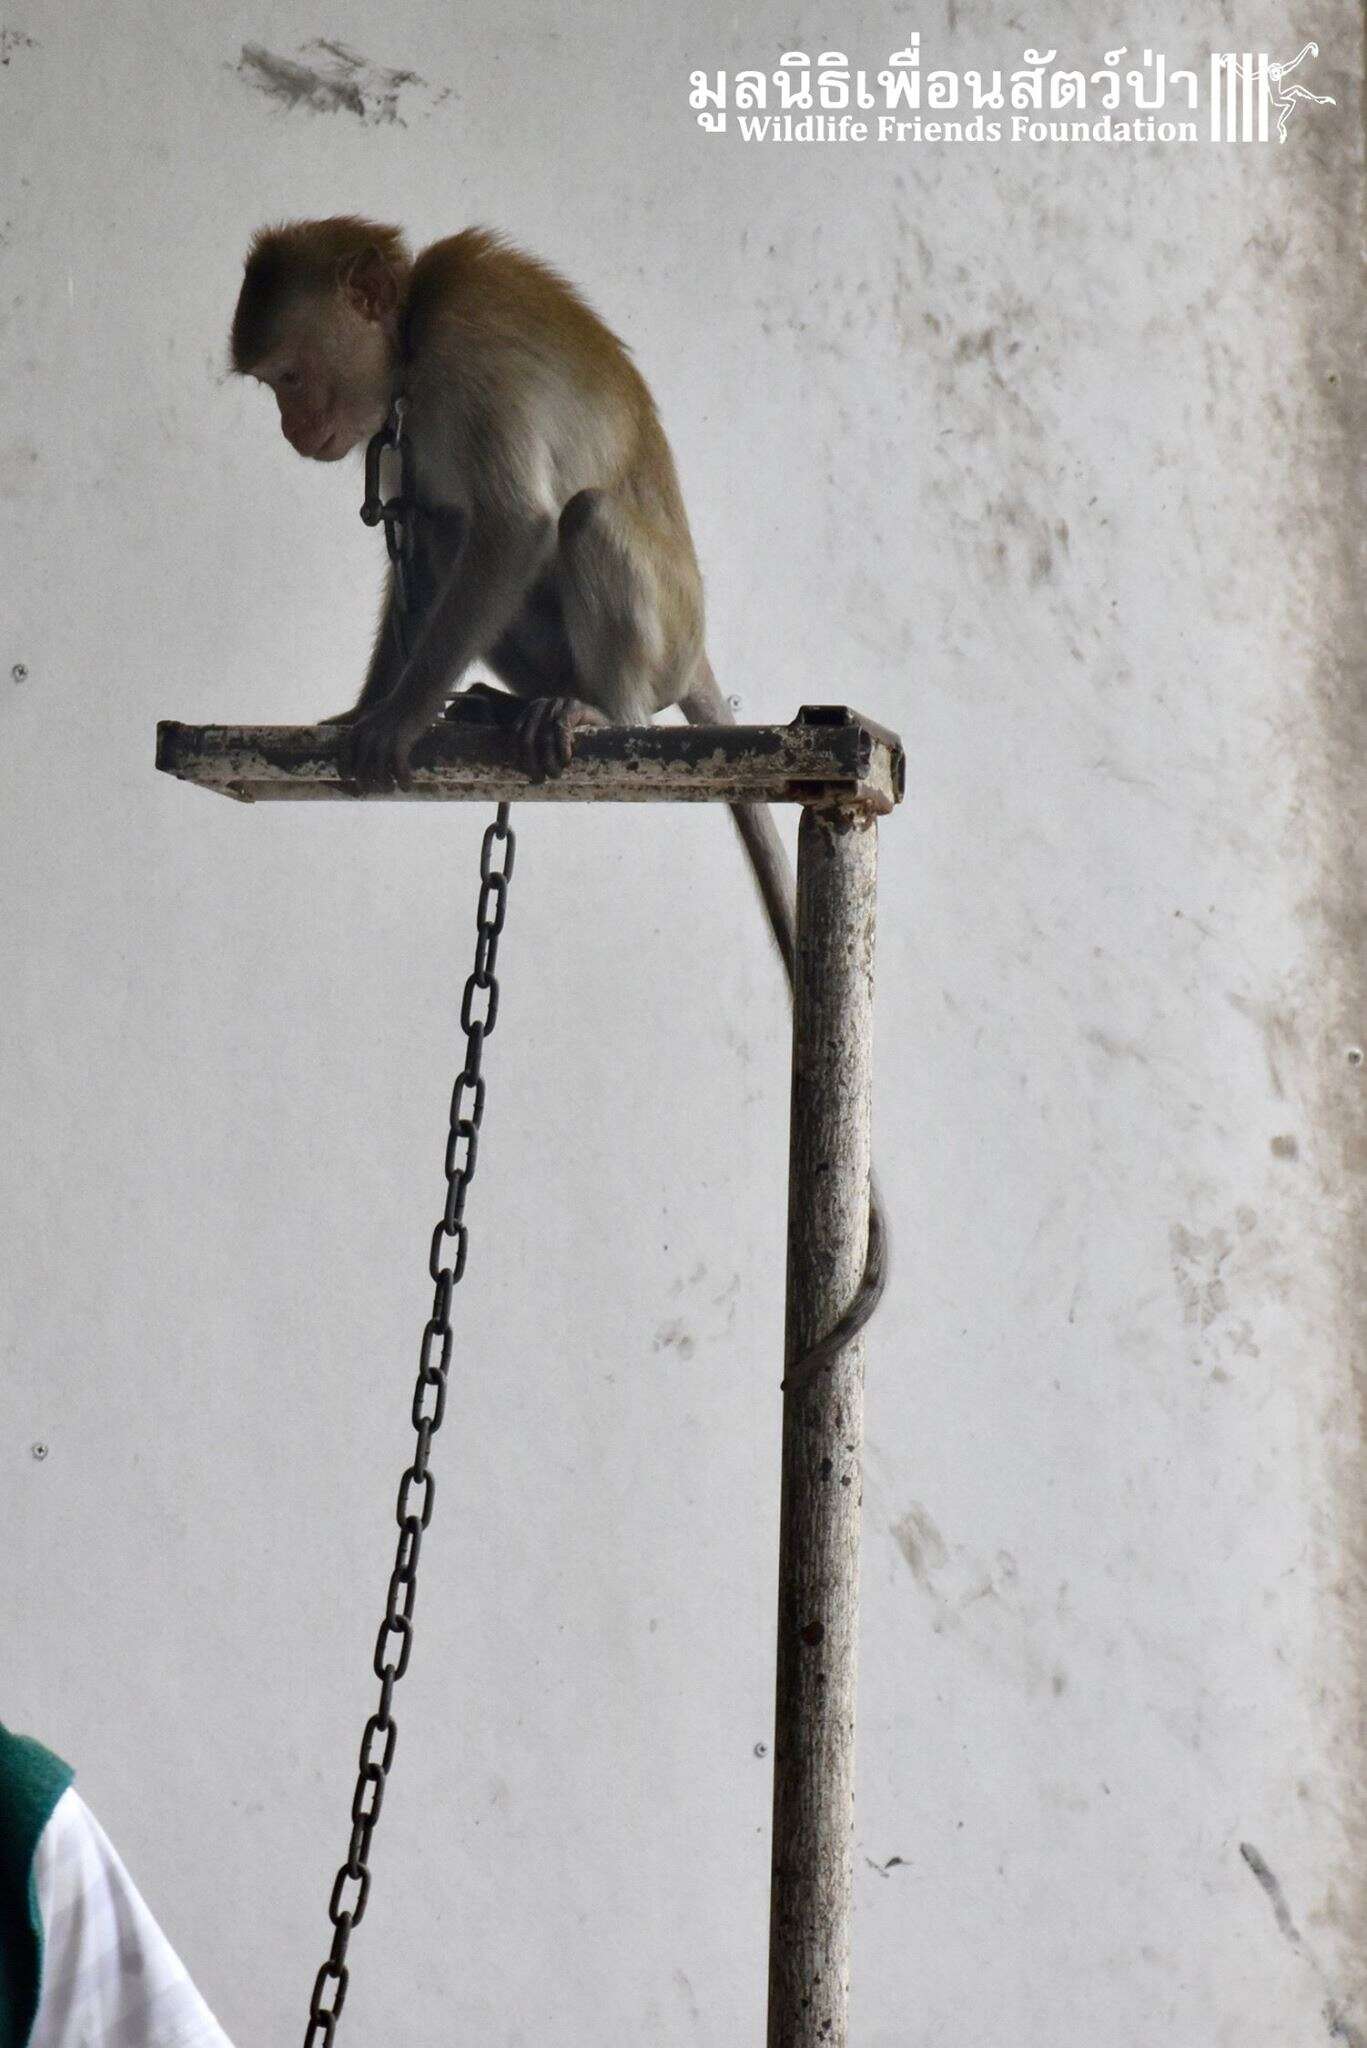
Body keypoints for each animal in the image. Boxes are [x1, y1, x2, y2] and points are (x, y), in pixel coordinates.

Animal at [229, 220, 881, 1376]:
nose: (293, 428)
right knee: (440, 526)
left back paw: (583, 710)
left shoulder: (462, 363)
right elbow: (431, 534)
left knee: (575, 520)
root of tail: (693, 649)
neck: (406, 343)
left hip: (656, 631)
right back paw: (497, 704)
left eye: (290, 378)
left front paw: (395, 719)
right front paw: (361, 708)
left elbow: (517, 523)